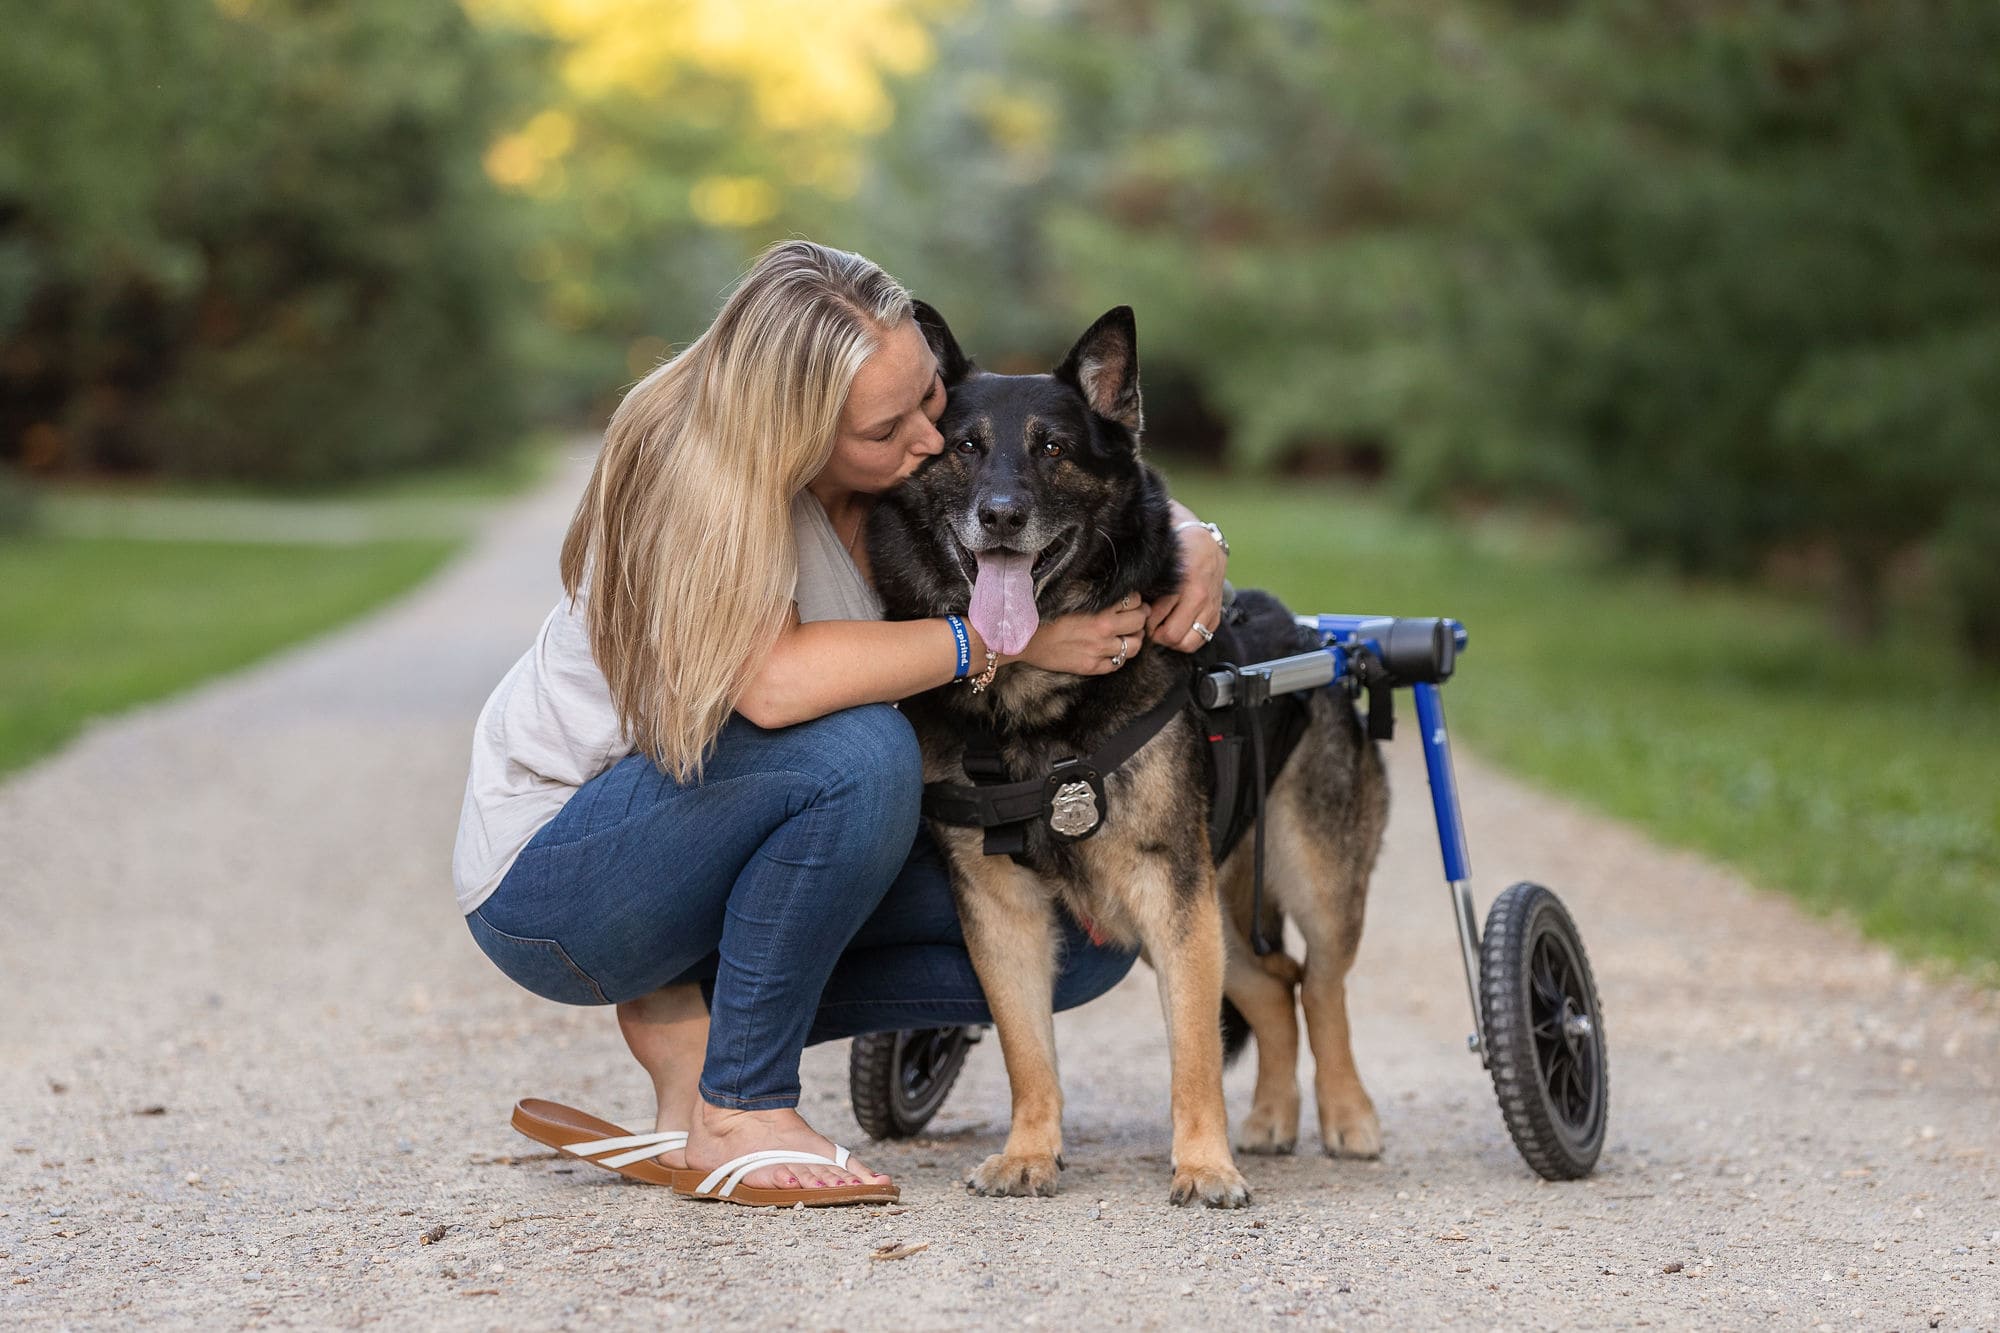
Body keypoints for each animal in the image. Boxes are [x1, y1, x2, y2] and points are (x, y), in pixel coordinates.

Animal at [876, 300, 1392, 1200]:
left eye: (1053, 448)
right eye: (965, 446)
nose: (1001, 515)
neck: (1036, 704)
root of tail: (1319, 638)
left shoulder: (1169, 890)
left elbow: (1193, 1053)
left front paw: (1204, 1164)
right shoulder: (1002, 909)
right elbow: (1027, 1050)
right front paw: (1031, 1150)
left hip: (1309, 880)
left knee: (1322, 986)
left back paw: (1346, 1115)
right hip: (1217, 909)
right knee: (1277, 987)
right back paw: (1271, 1115)